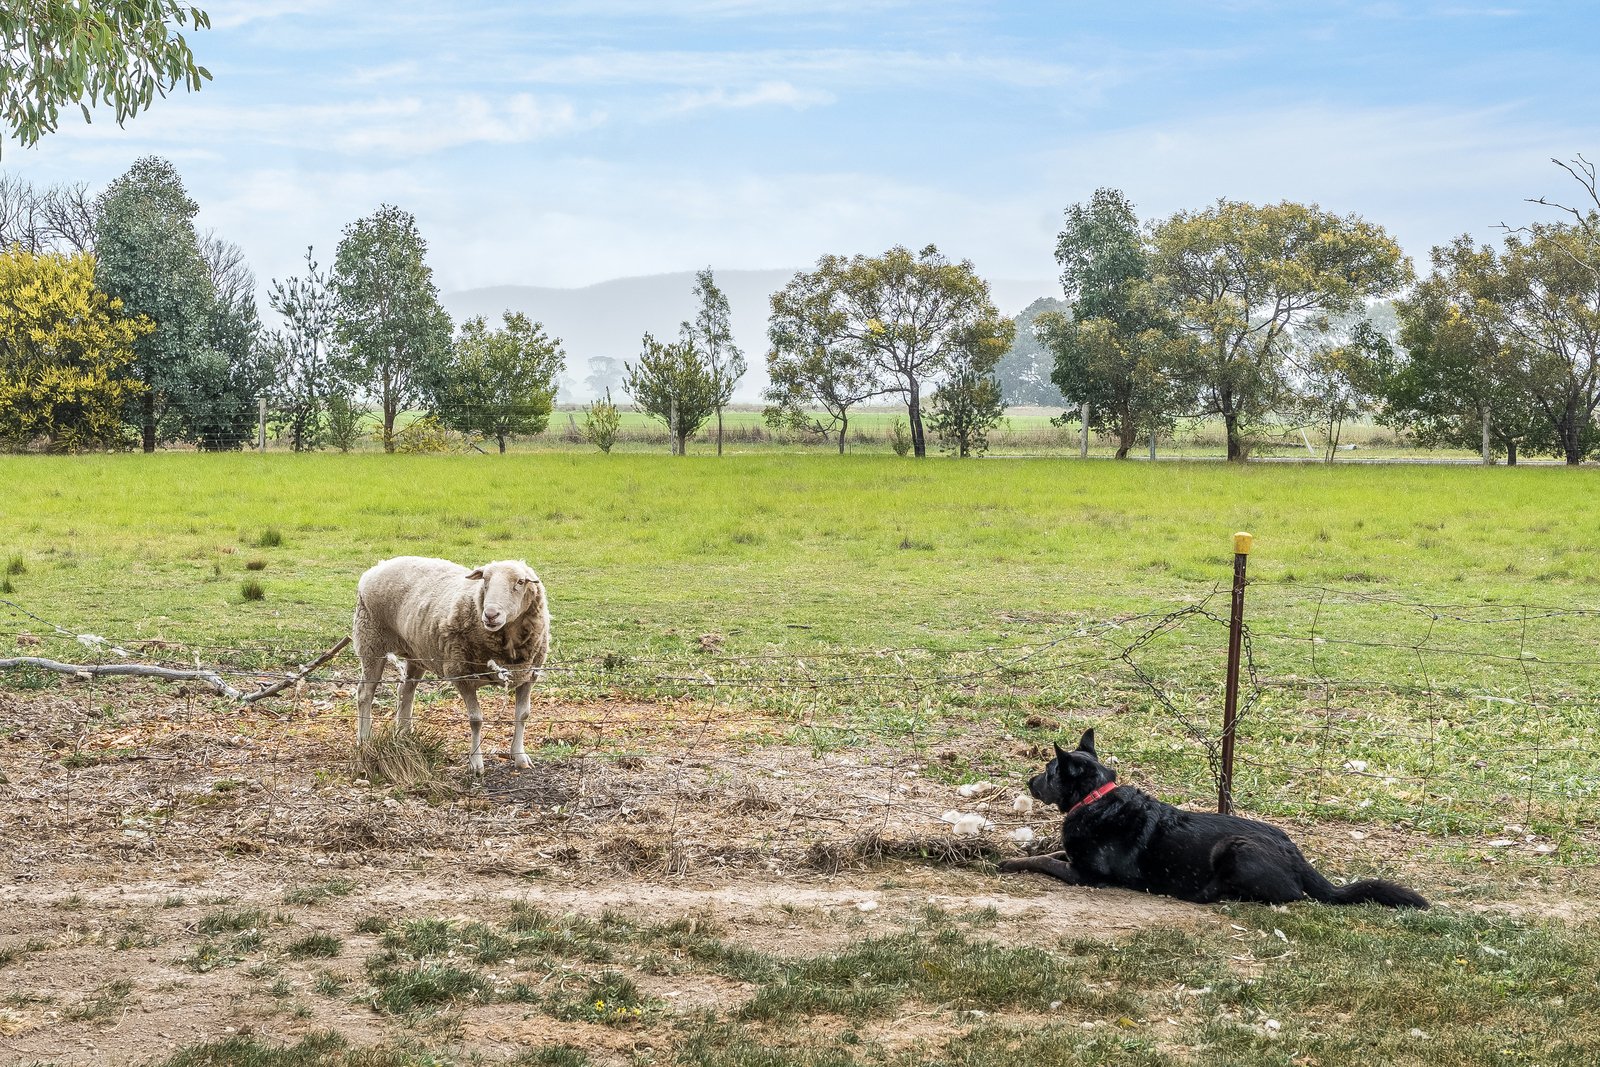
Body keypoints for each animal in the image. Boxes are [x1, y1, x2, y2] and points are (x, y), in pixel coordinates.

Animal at [352, 556, 550, 774]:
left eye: (520, 582)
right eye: (485, 580)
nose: (490, 614)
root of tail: (377, 567)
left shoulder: (528, 675)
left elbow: (523, 714)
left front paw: (520, 756)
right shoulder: (460, 674)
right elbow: (476, 720)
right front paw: (476, 763)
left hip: (416, 652)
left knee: (405, 690)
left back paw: (404, 734)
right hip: (371, 641)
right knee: (365, 693)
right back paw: (365, 740)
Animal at [999, 729, 1428, 908]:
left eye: (1049, 771)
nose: (1029, 780)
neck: (1097, 798)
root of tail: (1295, 853)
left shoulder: (1086, 875)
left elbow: (1044, 862)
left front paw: (1008, 862)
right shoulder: (1074, 858)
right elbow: (1050, 854)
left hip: (1236, 850)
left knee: (1289, 896)